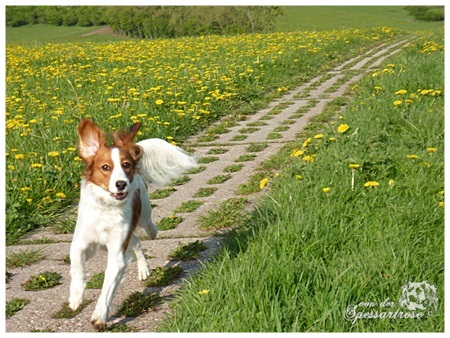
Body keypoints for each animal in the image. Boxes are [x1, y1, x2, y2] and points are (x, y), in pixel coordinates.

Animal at [69, 120, 196, 332]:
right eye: (105, 167)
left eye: (126, 165)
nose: (121, 184)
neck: (107, 209)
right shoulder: (81, 242)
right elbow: (77, 267)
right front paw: (76, 297)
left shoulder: (117, 252)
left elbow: (107, 289)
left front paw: (99, 316)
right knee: (136, 241)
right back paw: (143, 268)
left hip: (143, 214)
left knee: (147, 229)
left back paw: (149, 247)